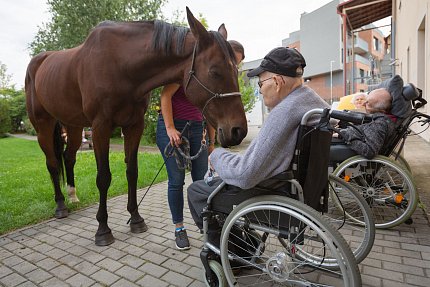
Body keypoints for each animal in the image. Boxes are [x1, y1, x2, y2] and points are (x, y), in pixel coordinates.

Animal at [26, 9, 245, 248]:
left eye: (236, 70)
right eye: (215, 72)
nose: (238, 130)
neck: (120, 64)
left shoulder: (134, 125)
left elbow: (132, 172)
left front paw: (136, 219)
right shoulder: (100, 127)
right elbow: (103, 177)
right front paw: (103, 229)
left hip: (73, 126)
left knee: (68, 157)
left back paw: (73, 195)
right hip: (43, 126)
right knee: (53, 164)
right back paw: (60, 205)